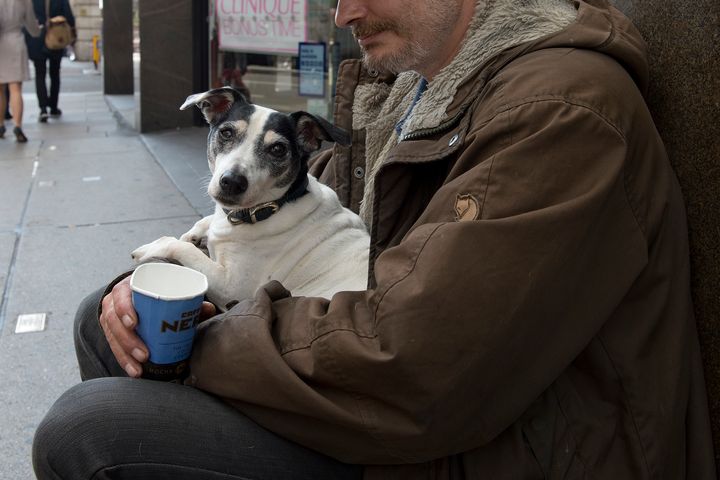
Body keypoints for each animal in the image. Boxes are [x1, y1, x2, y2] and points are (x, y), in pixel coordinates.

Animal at [132, 87, 372, 310]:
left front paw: (151, 247)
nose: (232, 182)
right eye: (226, 133)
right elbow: (203, 223)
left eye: (278, 148)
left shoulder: (231, 286)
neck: (271, 207)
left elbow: (181, 247)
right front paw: (194, 233)